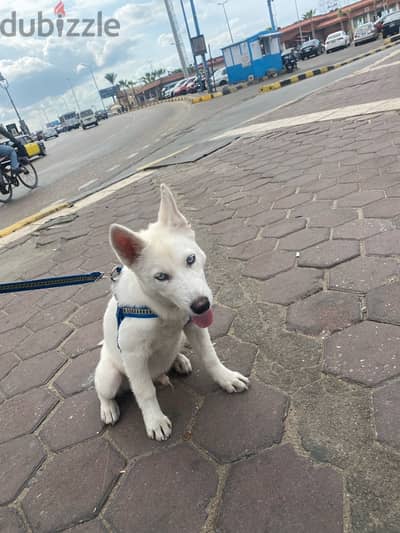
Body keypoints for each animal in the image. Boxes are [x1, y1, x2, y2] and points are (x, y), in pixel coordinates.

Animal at [95, 183, 248, 440]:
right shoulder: (134, 356)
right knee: (105, 391)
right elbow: (145, 392)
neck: (162, 310)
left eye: (191, 259)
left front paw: (225, 378)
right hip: (110, 375)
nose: (201, 305)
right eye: (161, 277)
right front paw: (155, 421)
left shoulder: (194, 326)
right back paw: (108, 408)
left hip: (180, 340)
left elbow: (210, 357)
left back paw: (178, 361)